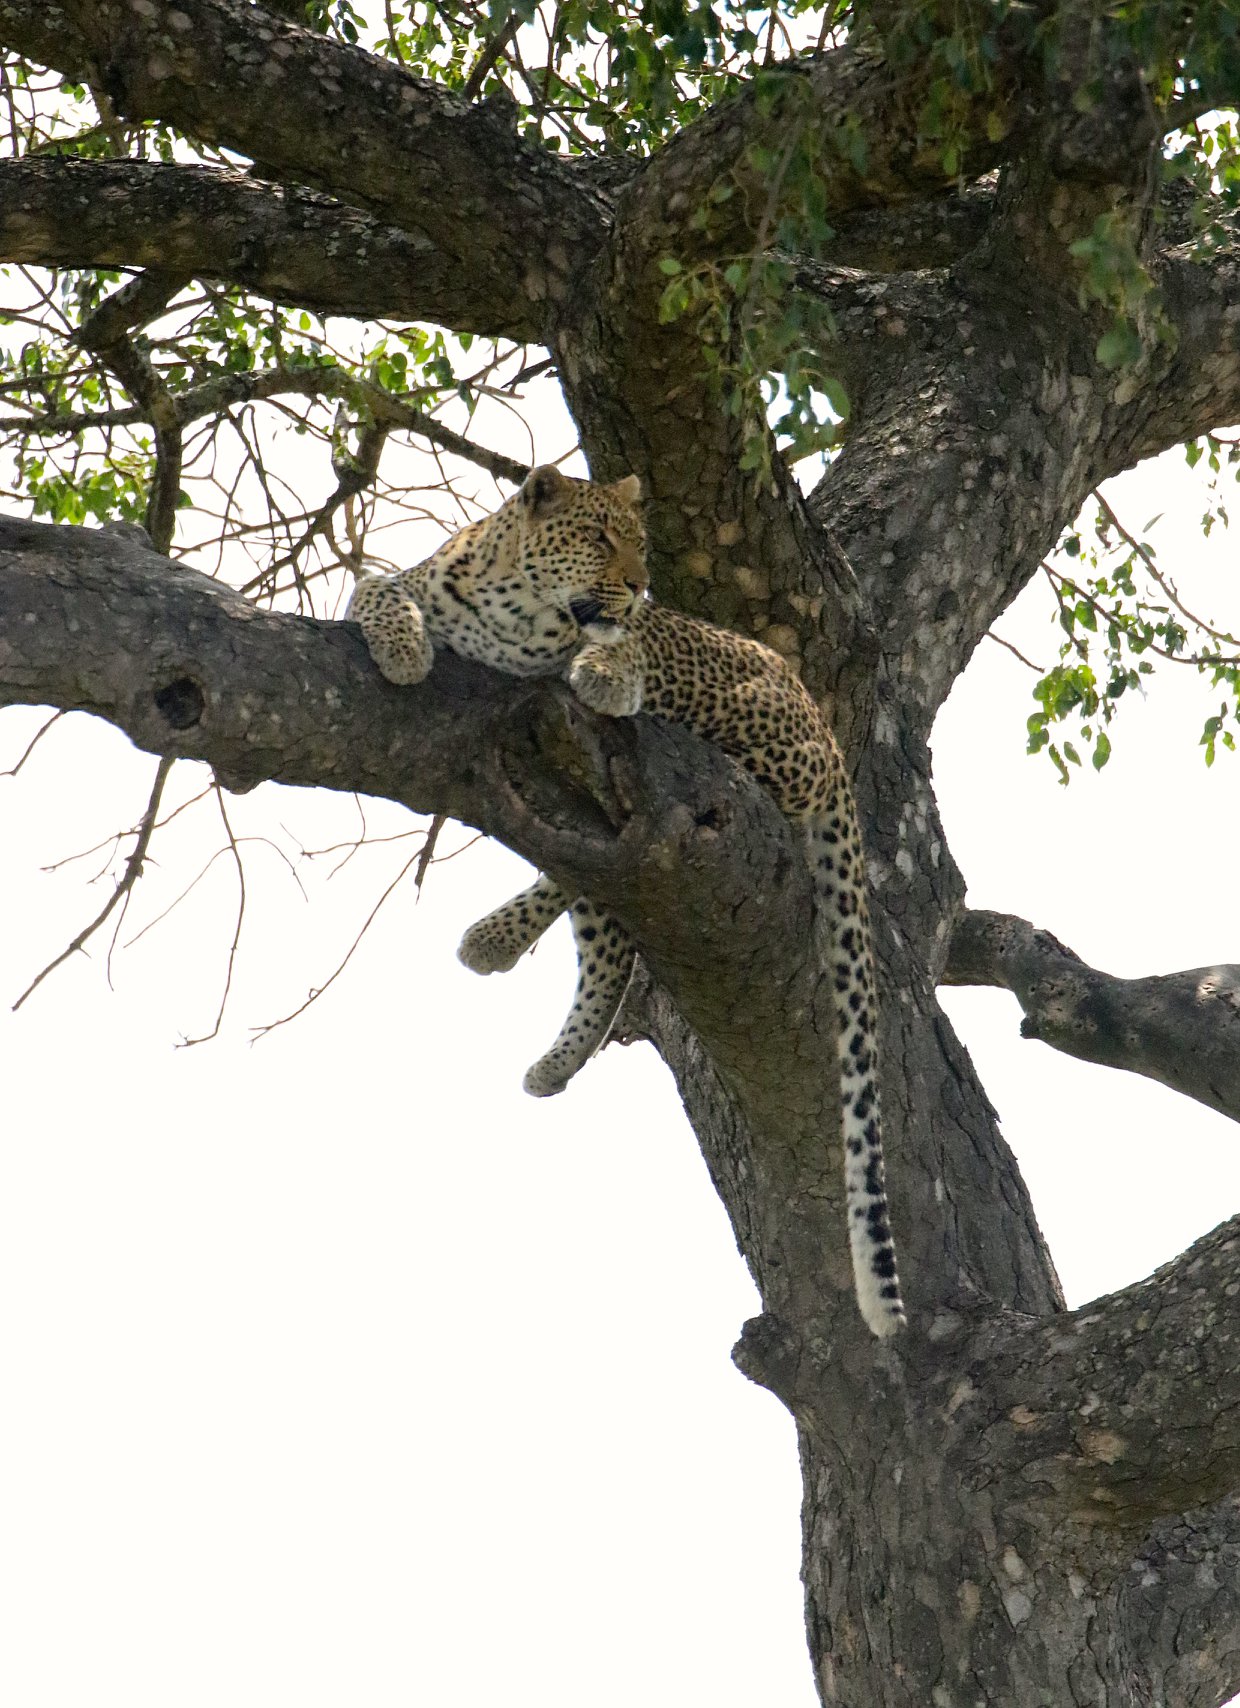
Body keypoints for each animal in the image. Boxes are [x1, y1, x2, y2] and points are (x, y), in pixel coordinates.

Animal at [345, 461, 908, 1339]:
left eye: (640, 543)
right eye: (601, 537)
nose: (642, 586)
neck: (513, 608)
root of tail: (824, 726)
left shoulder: (620, 647)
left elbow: (616, 651)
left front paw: (603, 671)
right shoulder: (413, 583)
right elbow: (375, 587)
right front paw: (403, 650)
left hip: (737, 717)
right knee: (598, 915)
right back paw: (534, 1019)